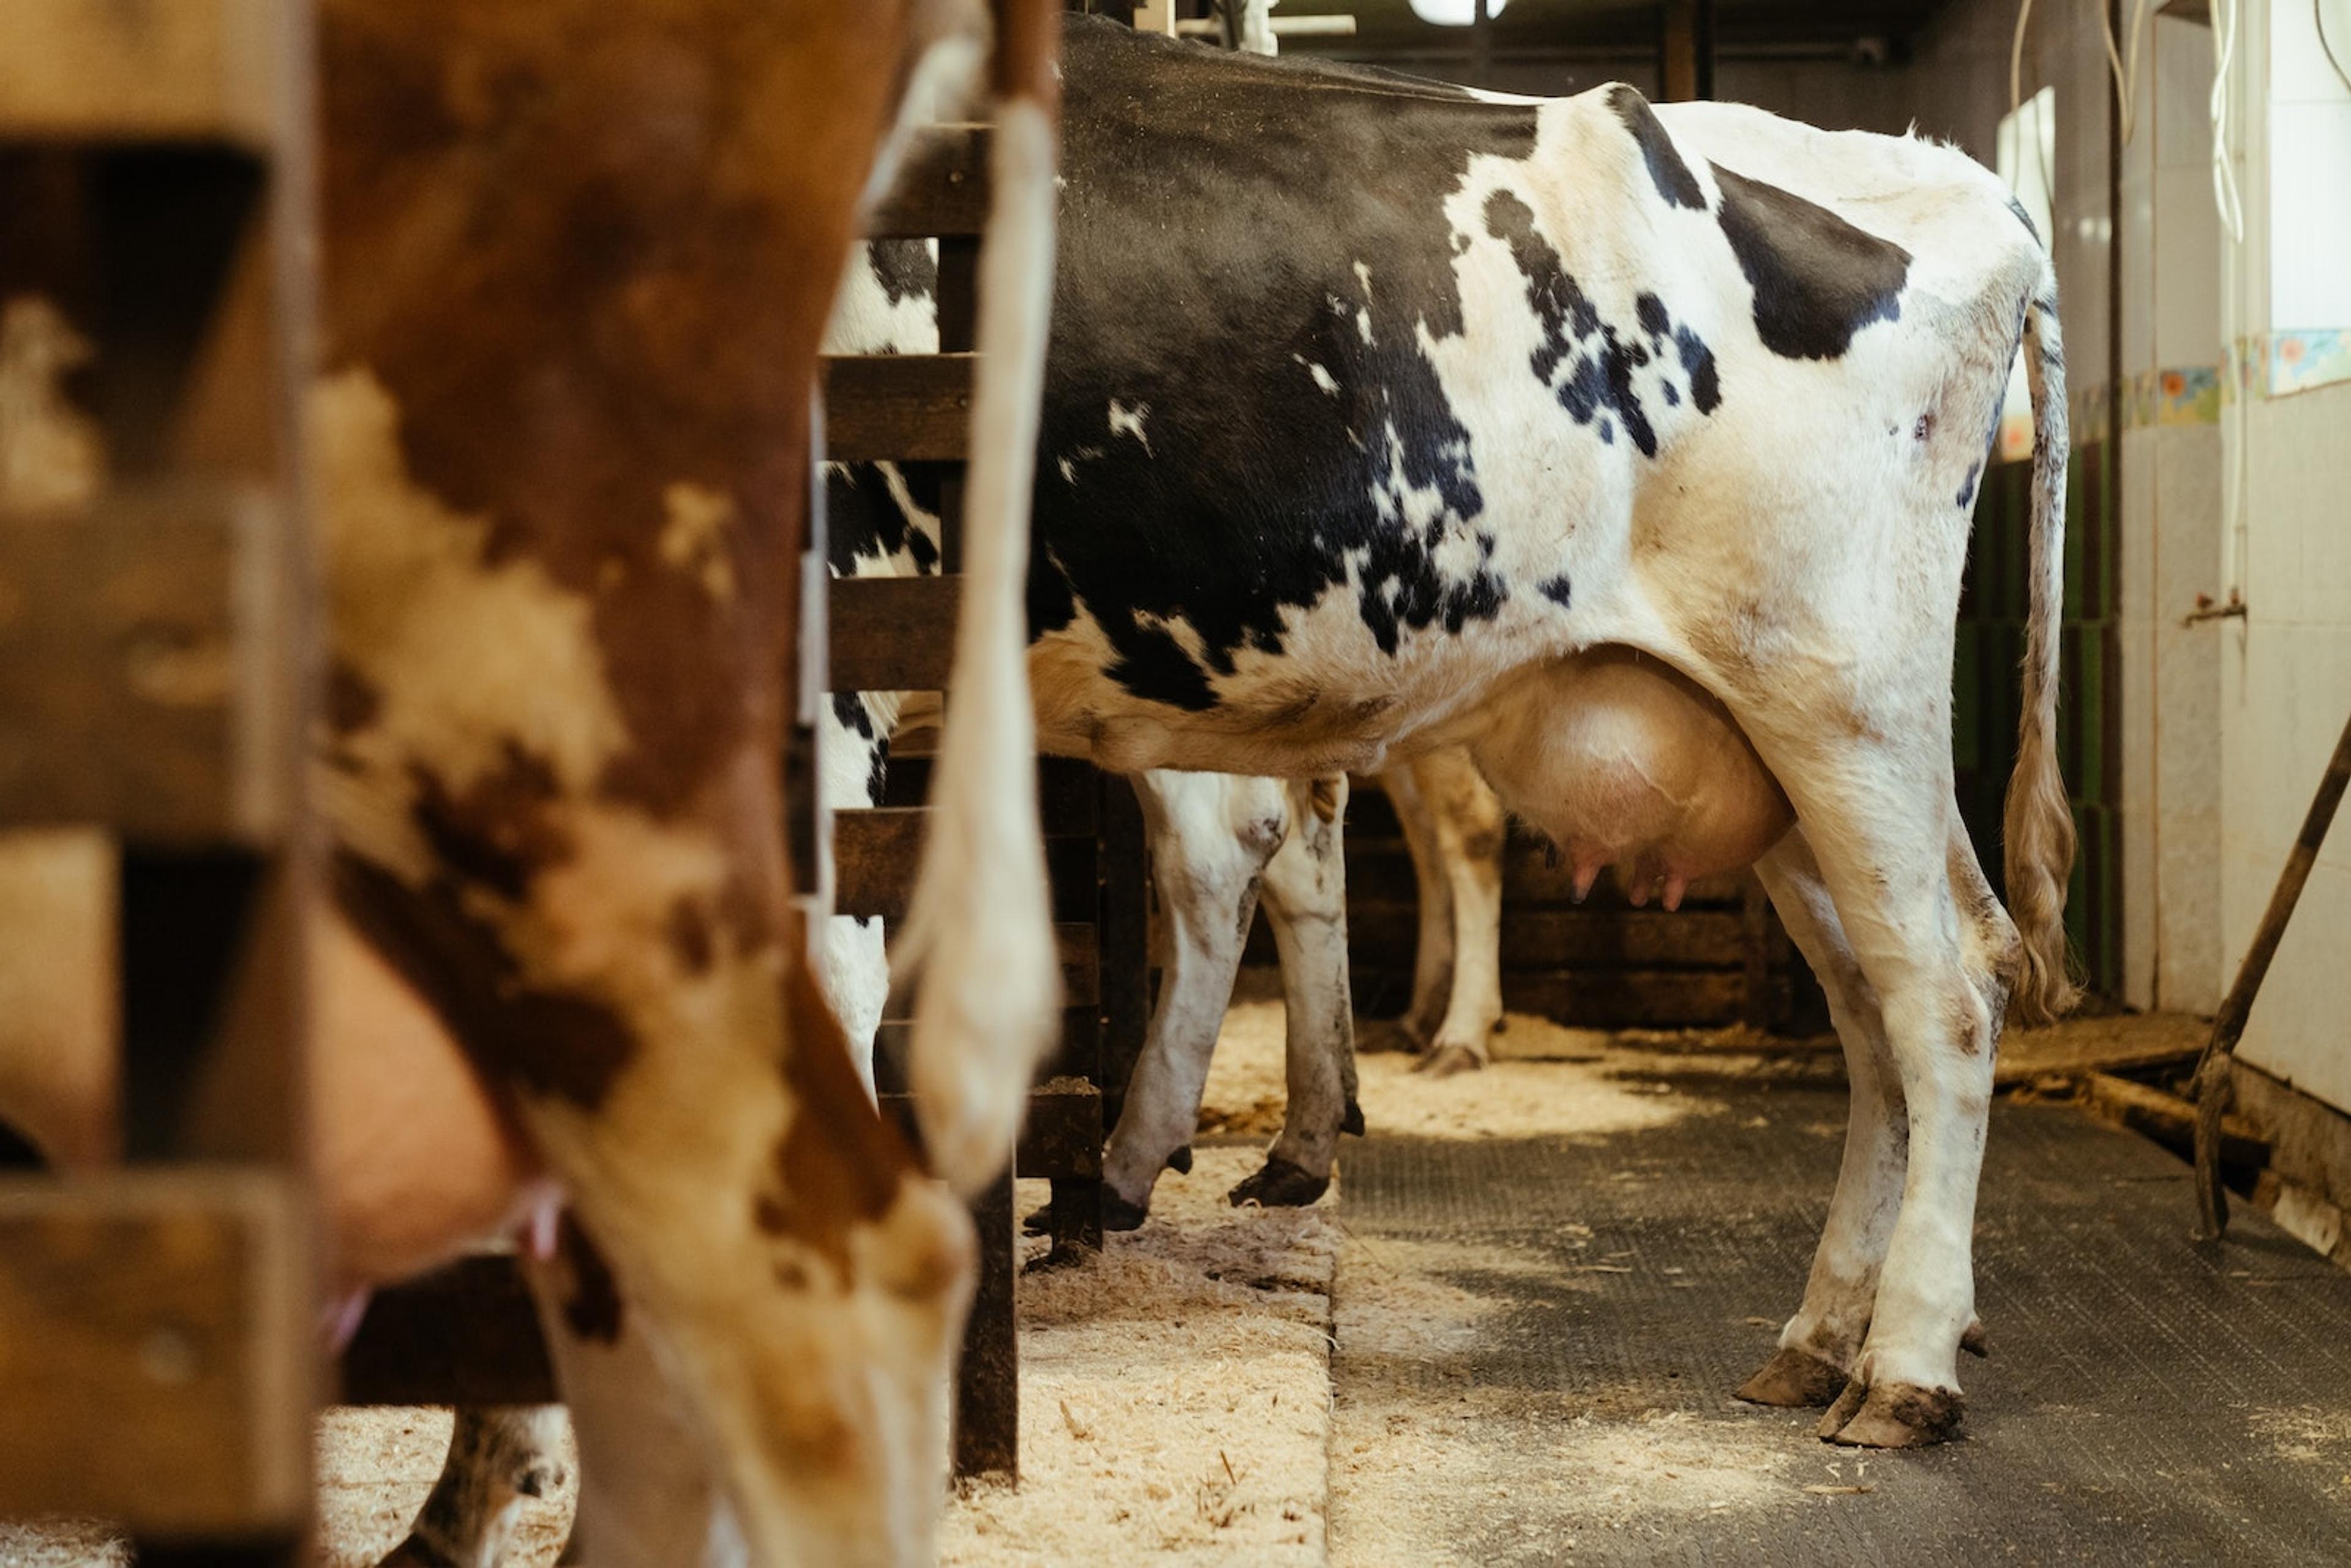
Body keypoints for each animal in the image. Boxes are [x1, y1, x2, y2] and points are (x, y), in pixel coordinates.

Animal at [1029, 18, 2078, 1457]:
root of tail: (1972, 184)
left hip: (1844, 704)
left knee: (1948, 993)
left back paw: (1905, 1366)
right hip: (1782, 754)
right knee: (1891, 996)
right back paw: (1818, 1337)